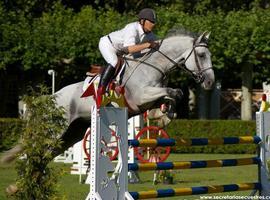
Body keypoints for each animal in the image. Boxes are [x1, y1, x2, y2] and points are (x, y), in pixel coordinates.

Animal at [1, 30, 214, 162]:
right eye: (202, 55)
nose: (210, 82)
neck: (152, 67)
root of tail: (49, 100)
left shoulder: (149, 99)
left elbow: (172, 95)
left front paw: (164, 116)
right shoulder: (141, 97)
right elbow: (173, 92)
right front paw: (164, 117)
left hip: (73, 132)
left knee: (45, 156)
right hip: (55, 130)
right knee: (36, 154)